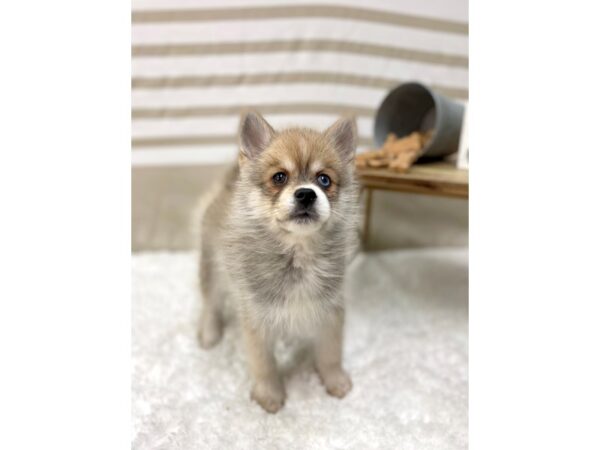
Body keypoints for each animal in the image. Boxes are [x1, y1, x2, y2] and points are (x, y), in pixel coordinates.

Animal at [197, 110, 358, 414]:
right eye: (279, 177)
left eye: (324, 180)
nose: (306, 193)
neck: (297, 255)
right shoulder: (256, 318)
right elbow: (264, 364)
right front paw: (269, 396)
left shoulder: (330, 312)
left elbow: (330, 353)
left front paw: (335, 381)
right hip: (212, 266)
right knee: (210, 302)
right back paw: (209, 335)